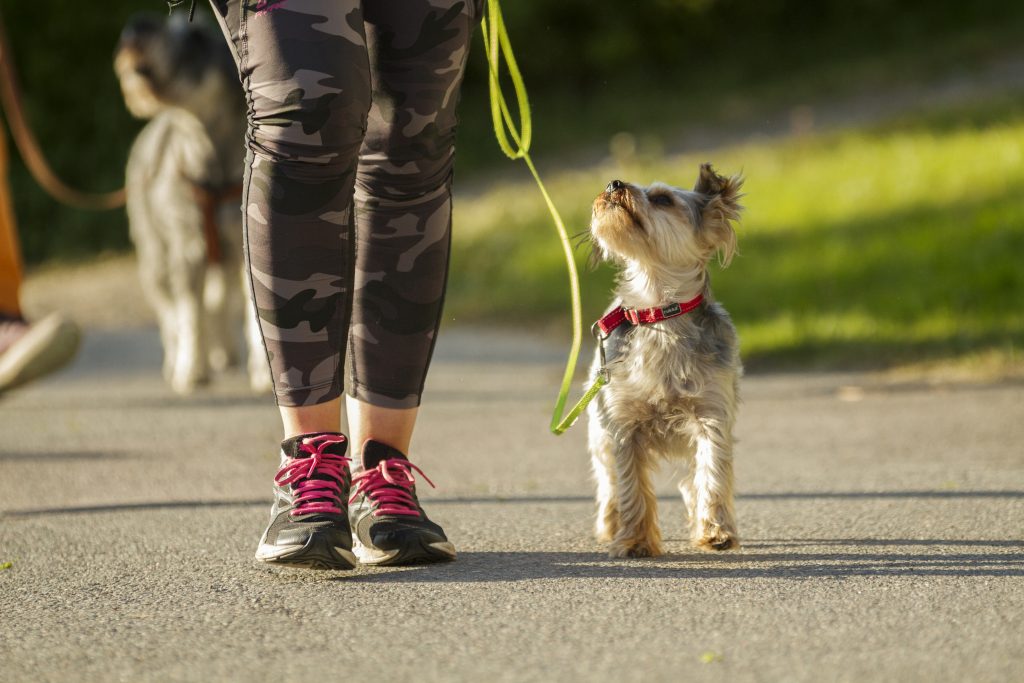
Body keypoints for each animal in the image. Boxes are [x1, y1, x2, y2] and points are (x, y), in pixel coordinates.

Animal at [589, 162, 741, 557]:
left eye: (662, 199)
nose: (613, 183)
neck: (658, 313)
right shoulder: (623, 424)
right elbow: (631, 486)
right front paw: (635, 541)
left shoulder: (711, 416)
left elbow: (712, 473)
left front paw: (716, 531)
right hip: (598, 430)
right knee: (609, 481)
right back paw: (610, 524)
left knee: (692, 478)